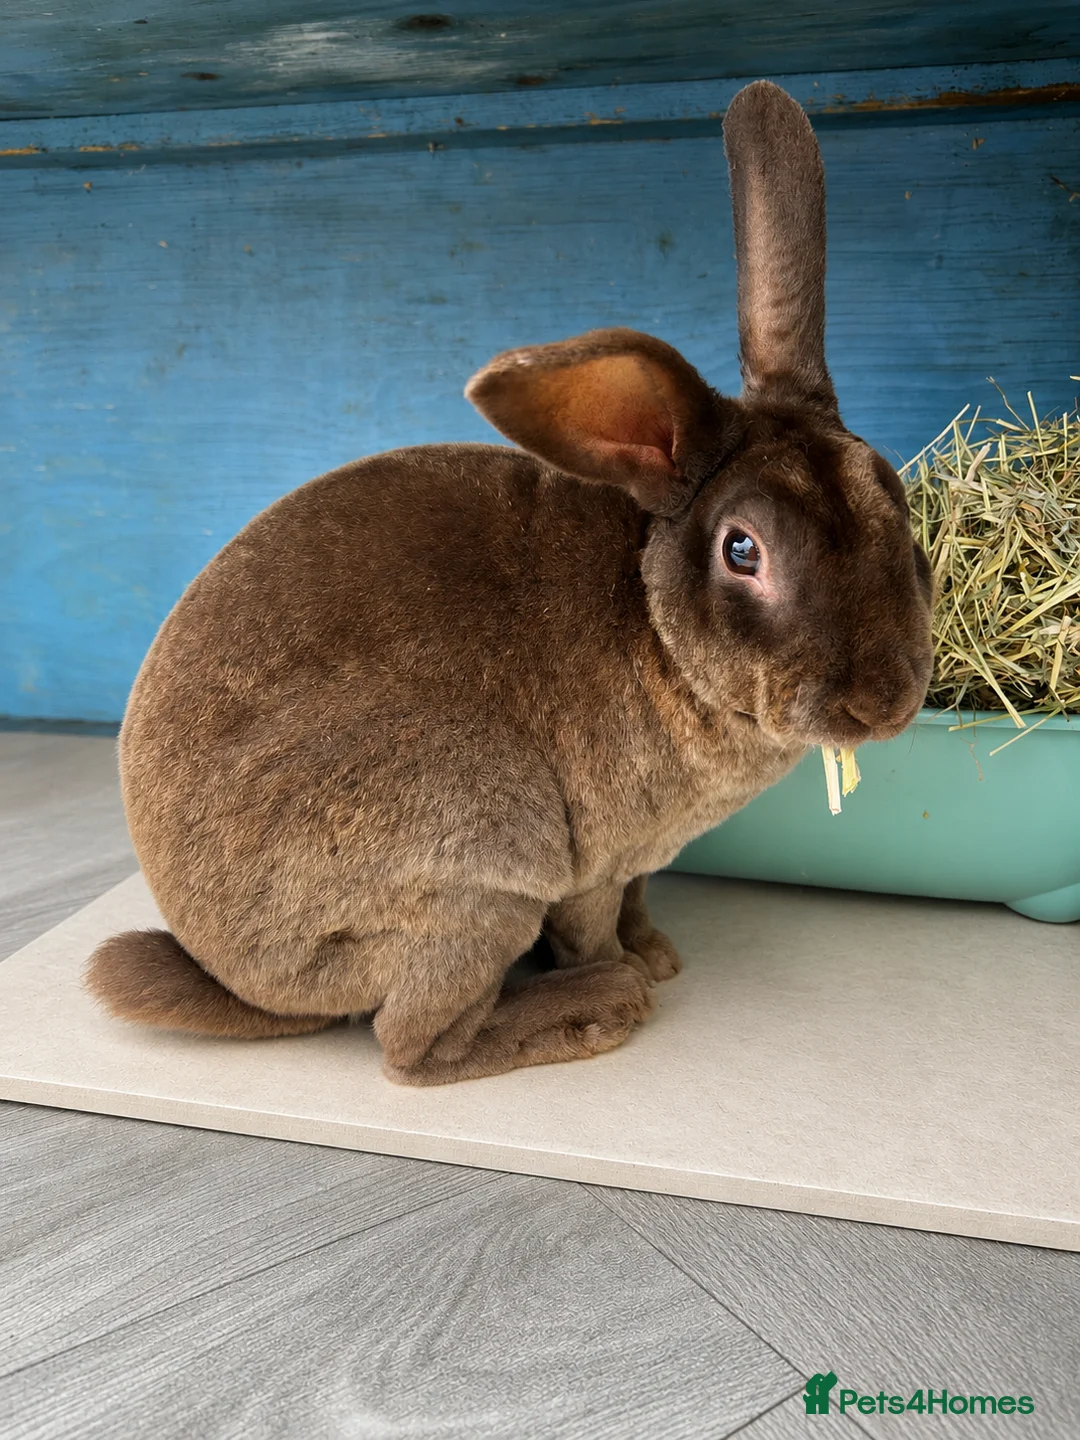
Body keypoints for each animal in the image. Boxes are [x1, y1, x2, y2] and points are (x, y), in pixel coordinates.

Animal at [86, 81, 933, 1085]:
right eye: (741, 550)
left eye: (899, 504)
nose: (886, 699)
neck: (654, 626)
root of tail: (242, 980)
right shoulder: (590, 866)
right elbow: (591, 925)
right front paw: (632, 973)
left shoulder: (636, 864)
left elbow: (639, 904)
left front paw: (660, 953)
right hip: (475, 876)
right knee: (412, 1048)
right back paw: (596, 1010)